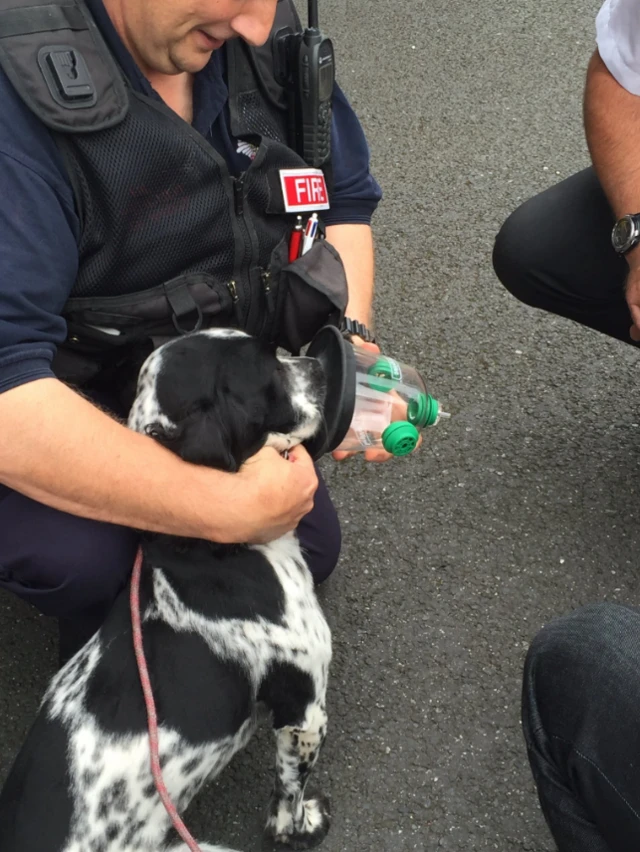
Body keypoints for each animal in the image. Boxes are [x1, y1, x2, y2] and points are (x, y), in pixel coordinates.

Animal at [1, 330, 336, 852]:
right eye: (267, 369)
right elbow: (286, 800)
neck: (209, 550)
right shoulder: (304, 711)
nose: (317, 364)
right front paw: (303, 827)